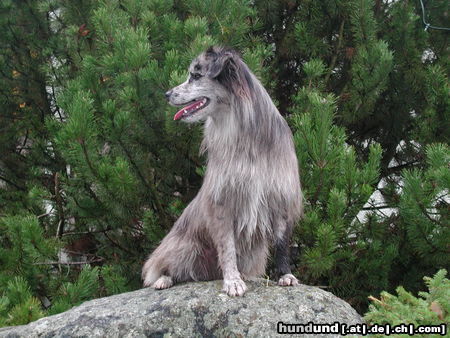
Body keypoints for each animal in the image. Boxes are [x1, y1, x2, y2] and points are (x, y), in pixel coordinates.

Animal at [142, 45, 302, 296]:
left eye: (195, 76)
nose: (166, 94)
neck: (245, 137)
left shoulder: (280, 198)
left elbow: (281, 244)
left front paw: (285, 275)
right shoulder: (223, 200)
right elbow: (227, 247)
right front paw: (232, 281)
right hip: (185, 247)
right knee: (167, 266)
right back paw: (164, 279)